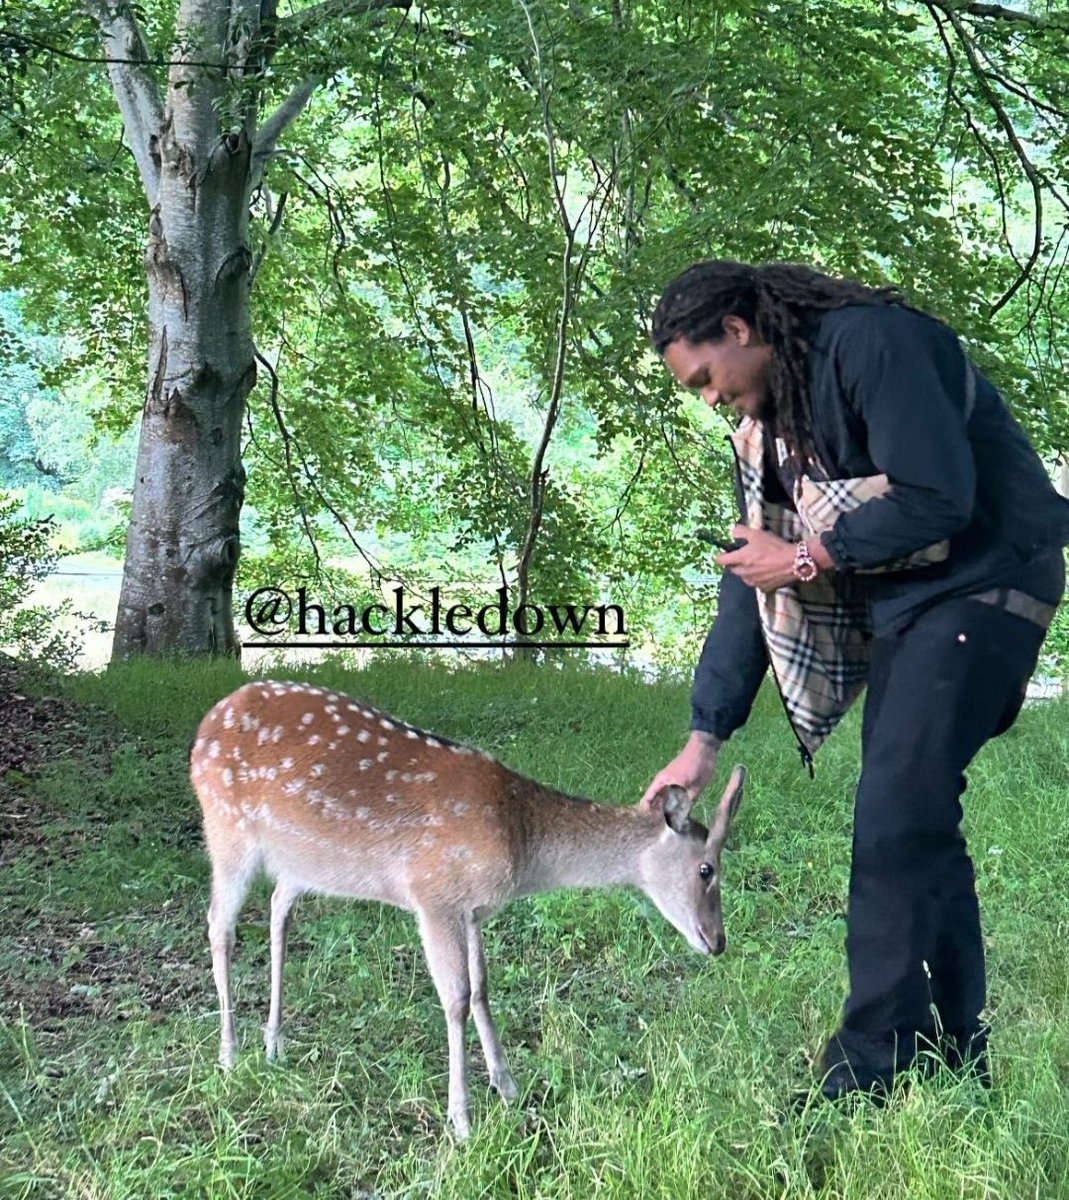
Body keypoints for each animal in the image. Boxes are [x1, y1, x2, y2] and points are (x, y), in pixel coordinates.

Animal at [190, 679, 745, 1139]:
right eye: (707, 869)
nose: (717, 941)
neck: (520, 845)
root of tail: (207, 723)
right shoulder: (434, 896)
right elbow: (455, 999)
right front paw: (462, 1120)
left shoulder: (472, 909)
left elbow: (481, 989)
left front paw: (508, 1086)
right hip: (226, 828)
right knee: (219, 925)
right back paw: (229, 1054)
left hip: (298, 860)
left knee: (278, 907)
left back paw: (274, 1043)